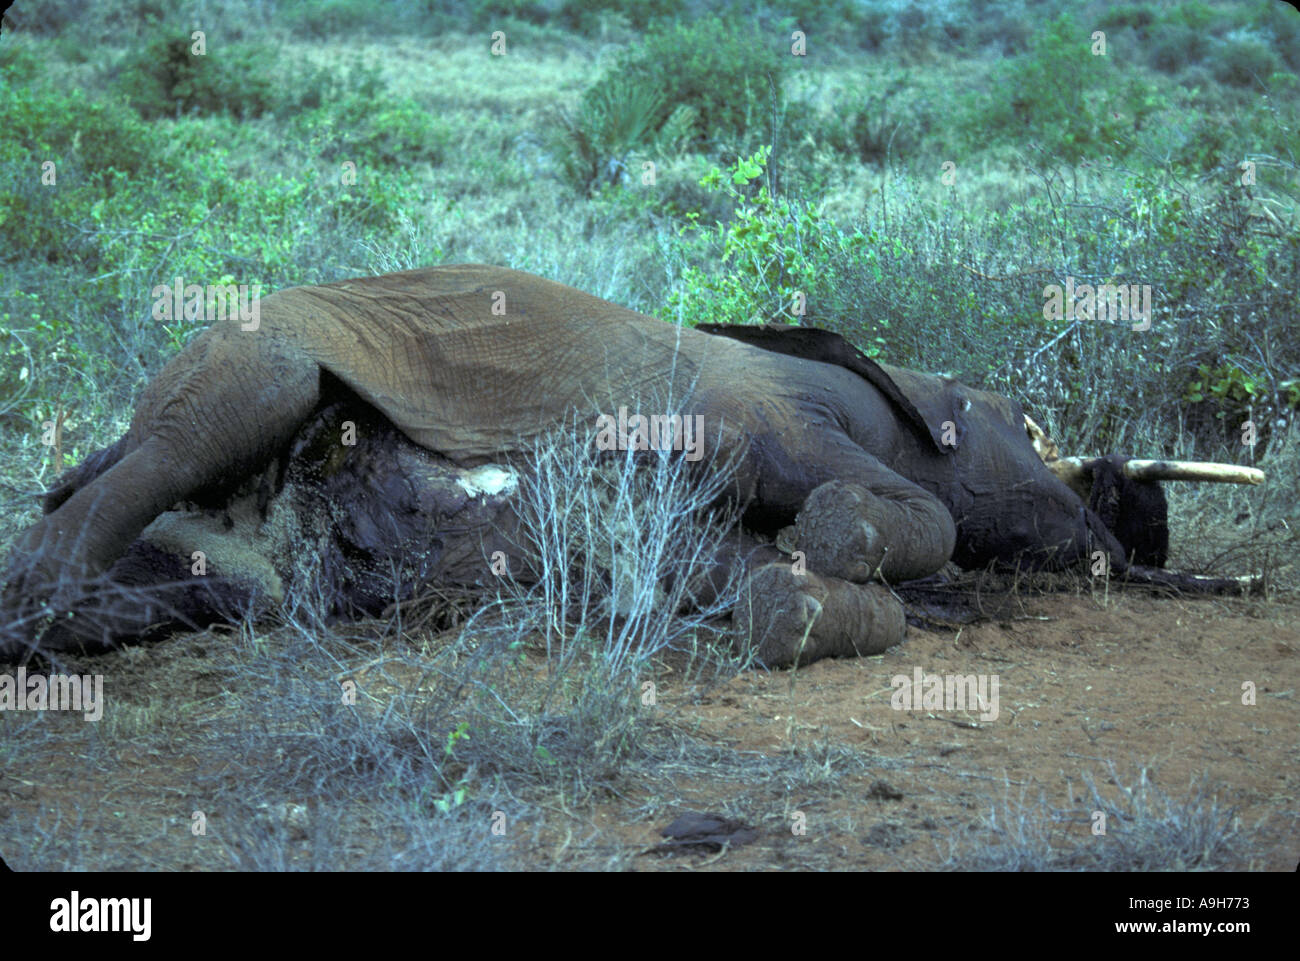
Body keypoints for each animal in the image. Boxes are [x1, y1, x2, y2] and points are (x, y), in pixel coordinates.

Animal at [0, 264, 1246, 666]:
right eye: (1024, 426)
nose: (1124, 508)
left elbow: (744, 586)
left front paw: (816, 596)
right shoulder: (763, 411)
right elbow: (894, 513)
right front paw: (845, 552)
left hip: (230, 575)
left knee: (192, 585)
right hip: (251, 358)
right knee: (174, 447)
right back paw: (31, 599)